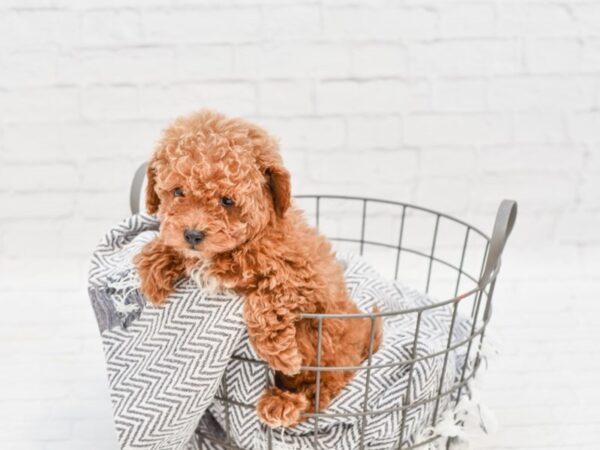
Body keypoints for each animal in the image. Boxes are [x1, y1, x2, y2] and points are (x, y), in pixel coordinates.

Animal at [134, 110, 382, 428]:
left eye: (227, 200)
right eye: (178, 191)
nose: (192, 234)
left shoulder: (301, 280)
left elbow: (264, 304)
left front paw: (282, 355)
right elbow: (170, 245)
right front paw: (153, 271)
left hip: (330, 357)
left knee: (321, 390)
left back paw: (284, 402)